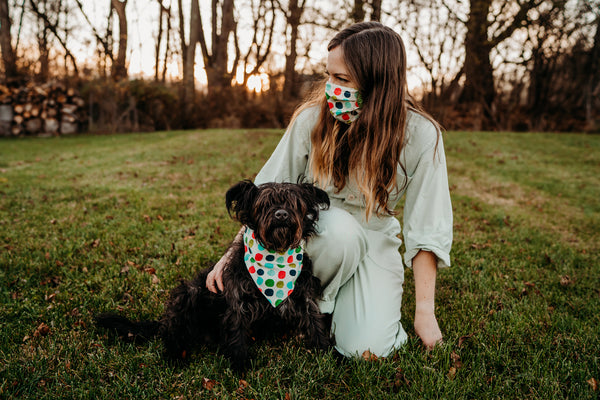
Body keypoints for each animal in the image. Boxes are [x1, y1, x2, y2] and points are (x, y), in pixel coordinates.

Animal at [97, 180, 332, 370]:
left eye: (294, 204)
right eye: (264, 204)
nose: (281, 214)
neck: (275, 257)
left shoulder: (305, 297)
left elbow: (315, 322)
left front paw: (326, 353)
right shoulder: (237, 303)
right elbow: (236, 332)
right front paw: (240, 365)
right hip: (189, 293)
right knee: (173, 333)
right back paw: (176, 354)